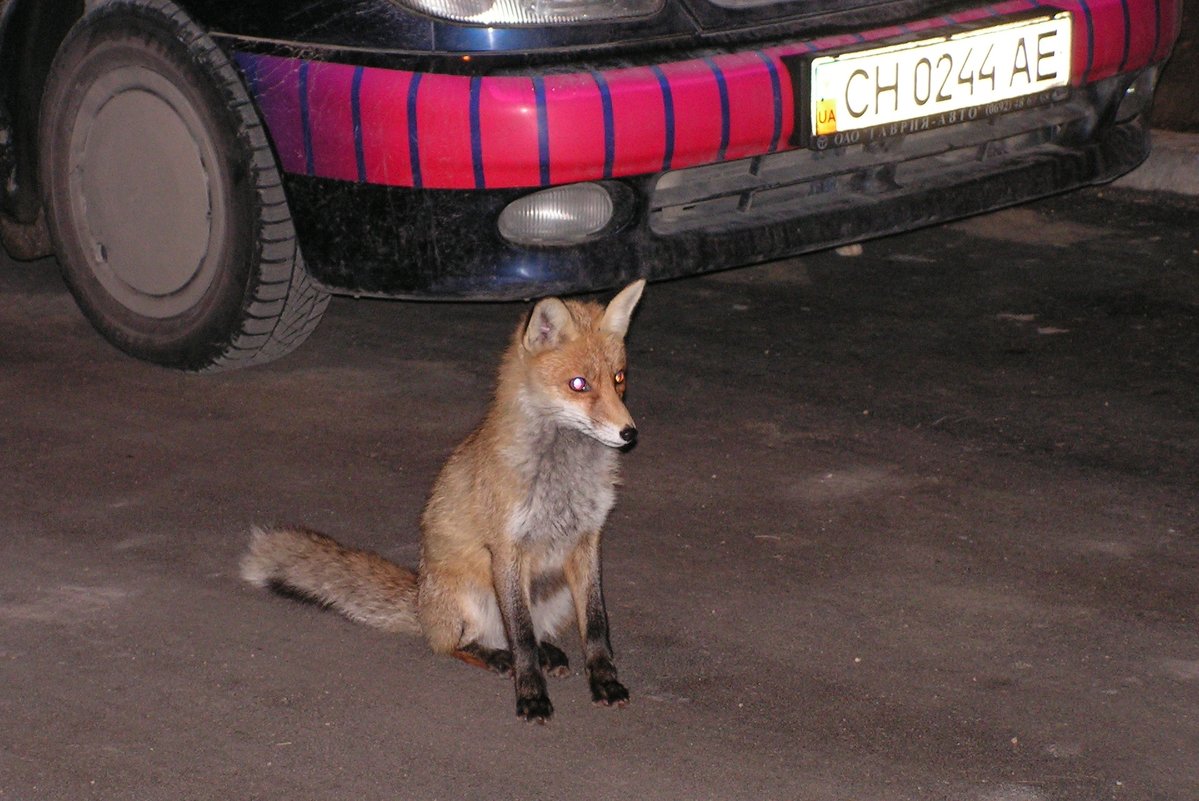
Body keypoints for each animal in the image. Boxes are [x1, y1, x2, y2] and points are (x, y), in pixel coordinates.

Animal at [240, 278, 647, 724]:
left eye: (619, 378)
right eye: (579, 384)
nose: (629, 433)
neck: (563, 479)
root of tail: (420, 599)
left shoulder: (587, 541)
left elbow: (596, 626)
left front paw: (604, 681)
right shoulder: (507, 549)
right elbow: (520, 635)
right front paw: (531, 695)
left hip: (552, 592)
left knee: (524, 632)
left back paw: (547, 653)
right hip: (473, 596)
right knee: (456, 644)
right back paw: (497, 658)